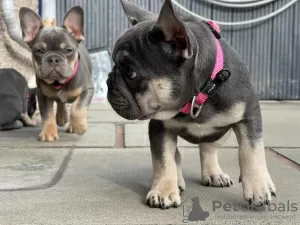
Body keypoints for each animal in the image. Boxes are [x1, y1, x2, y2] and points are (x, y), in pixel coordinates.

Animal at [19, 6, 94, 142]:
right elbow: (47, 115)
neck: (59, 83)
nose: (53, 58)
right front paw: (48, 132)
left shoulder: (87, 90)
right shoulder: (42, 95)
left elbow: (77, 109)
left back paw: (71, 124)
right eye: (39, 51)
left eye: (68, 50)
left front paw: (79, 127)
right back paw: (61, 116)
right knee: (60, 102)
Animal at [107, 0, 276, 209]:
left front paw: (258, 186)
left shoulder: (249, 114)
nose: (108, 81)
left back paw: (215, 174)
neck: (199, 94)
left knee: (209, 147)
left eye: (131, 74)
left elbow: (251, 150)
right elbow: (164, 159)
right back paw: (177, 180)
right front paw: (164, 190)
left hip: (222, 133)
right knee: (177, 155)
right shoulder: (159, 127)